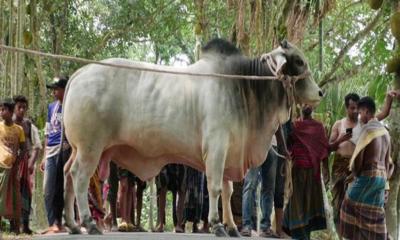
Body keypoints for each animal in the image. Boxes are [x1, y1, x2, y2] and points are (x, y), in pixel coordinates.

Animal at [63, 39, 324, 236]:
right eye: (299, 61)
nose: (321, 92)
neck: (244, 86)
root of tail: (79, 73)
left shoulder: (229, 152)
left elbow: (228, 191)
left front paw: (232, 227)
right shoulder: (217, 147)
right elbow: (215, 188)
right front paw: (217, 226)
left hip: (78, 149)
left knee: (67, 174)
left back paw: (73, 225)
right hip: (90, 148)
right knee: (79, 177)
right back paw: (88, 223)